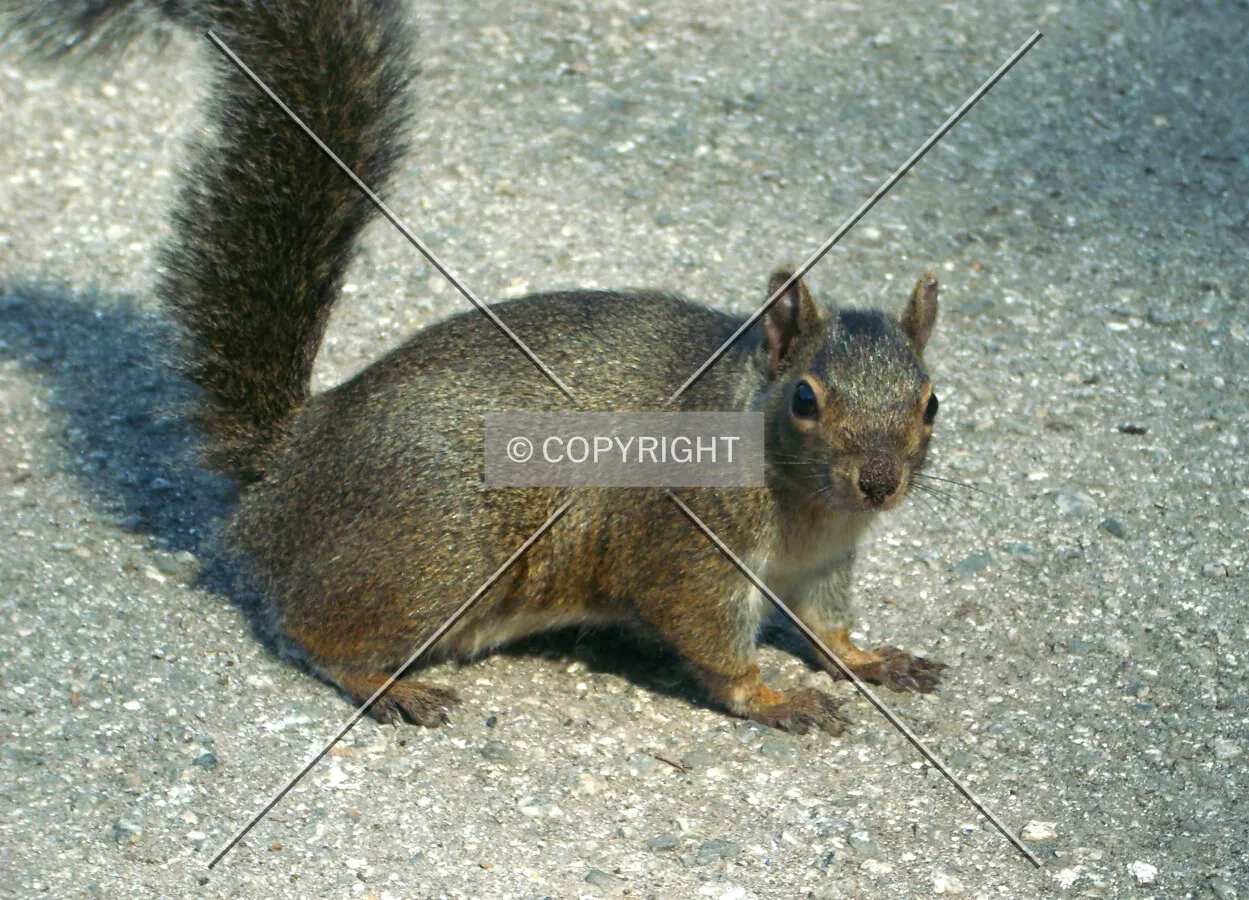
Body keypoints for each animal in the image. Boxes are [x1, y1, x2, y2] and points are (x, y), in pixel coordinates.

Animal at [13, 0, 948, 734]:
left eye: (932, 403)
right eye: (804, 399)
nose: (879, 484)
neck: (808, 510)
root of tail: (290, 467)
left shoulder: (822, 566)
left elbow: (827, 627)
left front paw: (869, 658)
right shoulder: (688, 541)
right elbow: (708, 636)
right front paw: (774, 699)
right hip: (441, 549)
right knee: (315, 629)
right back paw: (385, 684)